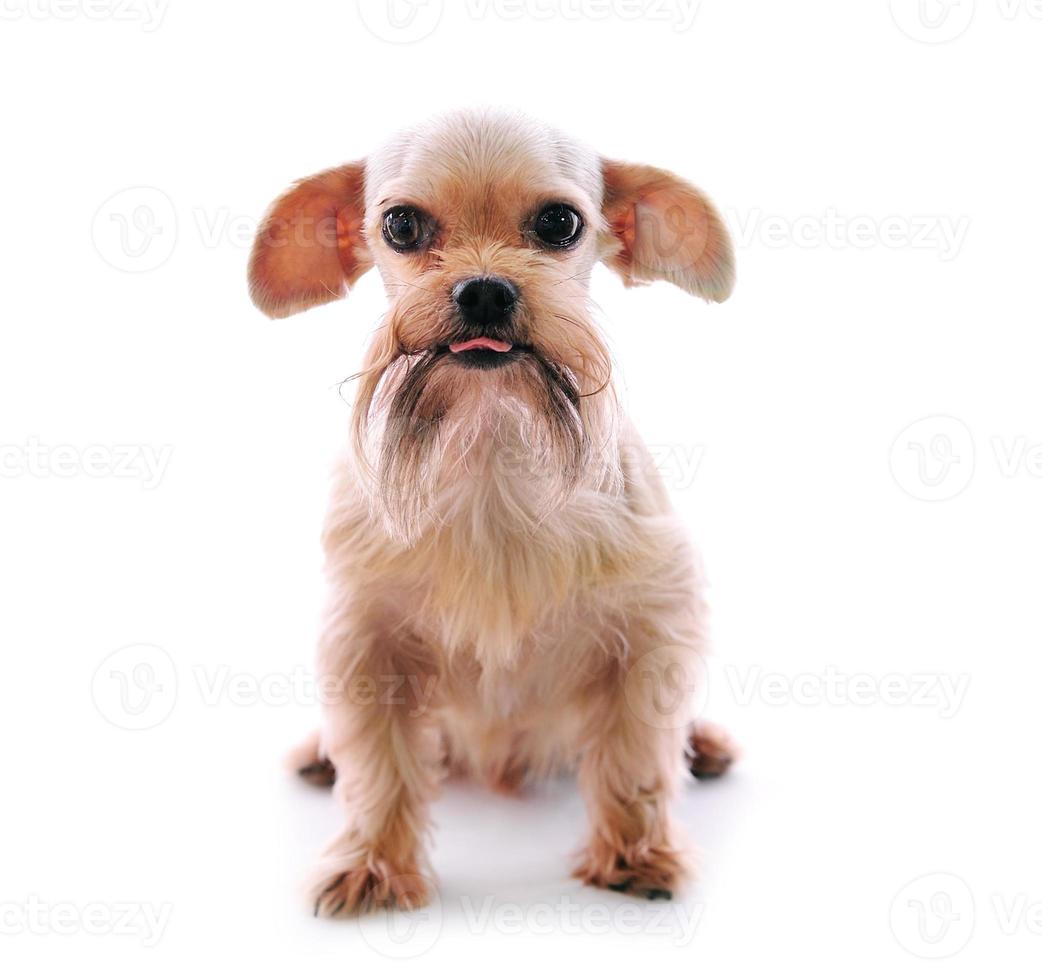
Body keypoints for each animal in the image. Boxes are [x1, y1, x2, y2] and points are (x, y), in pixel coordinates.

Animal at [250, 111, 741, 913]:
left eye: (560, 223)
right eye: (400, 225)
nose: (484, 289)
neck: (489, 441)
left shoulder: (651, 628)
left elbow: (637, 755)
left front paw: (635, 852)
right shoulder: (367, 641)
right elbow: (379, 767)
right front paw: (373, 864)